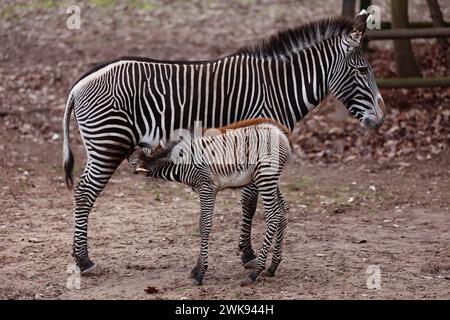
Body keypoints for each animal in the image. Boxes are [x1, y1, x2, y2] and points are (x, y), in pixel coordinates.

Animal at [128, 119, 294, 286]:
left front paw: (201, 273)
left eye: (131, 160)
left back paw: (255, 272)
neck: (180, 162)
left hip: (265, 175)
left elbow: (205, 225)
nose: (129, 162)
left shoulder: (206, 187)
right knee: (282, 213)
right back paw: (272, 267)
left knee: (273, 216)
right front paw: (196, 269)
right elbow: (202, 224)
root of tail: (280, 133)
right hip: (270, 178)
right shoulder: (211, 190)